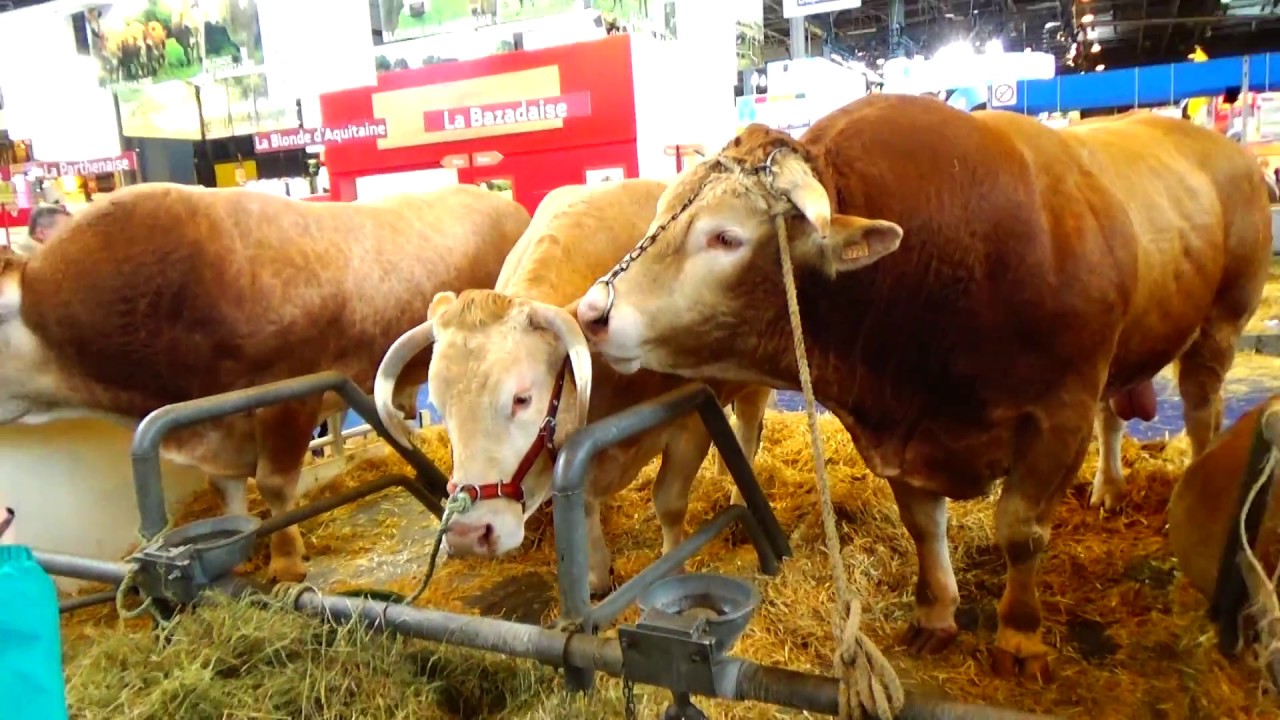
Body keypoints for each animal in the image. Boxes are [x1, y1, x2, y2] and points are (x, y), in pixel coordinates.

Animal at [0, 183, 530, 583]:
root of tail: (501, 201)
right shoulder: (213, 418)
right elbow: (226, 490)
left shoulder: (287, 395)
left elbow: (274, 484)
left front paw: (286, 561)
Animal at [373, 179, 773, 594]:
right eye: (440, 405)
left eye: (521, 398)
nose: (469, 534)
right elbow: (583, 510)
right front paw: (598, 577)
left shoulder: (689, 424)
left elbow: (668, 502)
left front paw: (673, 572)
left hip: (751, 389)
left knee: (746, 427)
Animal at [573, 94, 1273, 678]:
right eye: (662, 212)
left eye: (725, 236)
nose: (592, 312)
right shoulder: (901, 432)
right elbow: (922, 526)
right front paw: (936, 613)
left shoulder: (1059, 414)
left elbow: (1020, 531)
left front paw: (1019, 635)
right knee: (1117, 412)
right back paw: (1108, 488)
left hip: (1218, 324)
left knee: (1203, 412)